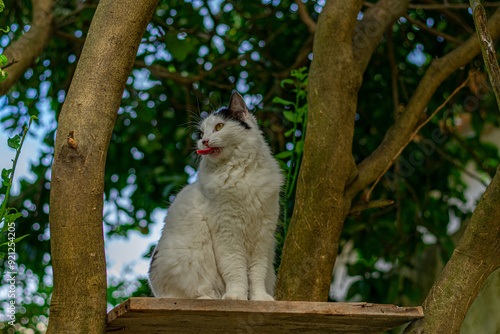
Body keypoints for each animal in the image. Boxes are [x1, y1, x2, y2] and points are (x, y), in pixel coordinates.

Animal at [146, 90, 284, 300]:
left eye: (219, 127)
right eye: (201, 133)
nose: (203, 141)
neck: (239, 172)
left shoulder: (263, 236)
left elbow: (256, 274)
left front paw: (259, 298)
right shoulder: (227, 233)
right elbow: (235, 270)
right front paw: (236, 297)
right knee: (197, 292)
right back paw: (211, 298)